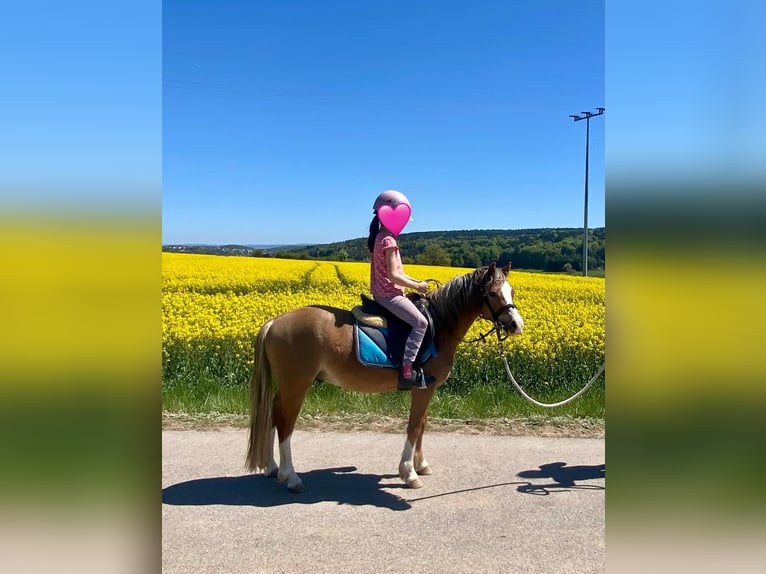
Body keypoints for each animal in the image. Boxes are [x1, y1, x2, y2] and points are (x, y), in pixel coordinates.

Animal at [246, 262, 524, 492]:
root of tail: (274, 322)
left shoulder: (427, 389)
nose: (516, 325)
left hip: (286, 385)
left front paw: (421, 464)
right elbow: (414, 426)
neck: (439, 326)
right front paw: (409, 473)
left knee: (272, 415)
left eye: (510, 291)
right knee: (285, 422)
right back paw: (291, 477)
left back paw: (271, 467)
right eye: (492, 293)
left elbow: (422, 424)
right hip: (296, 385)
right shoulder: (423, 389)